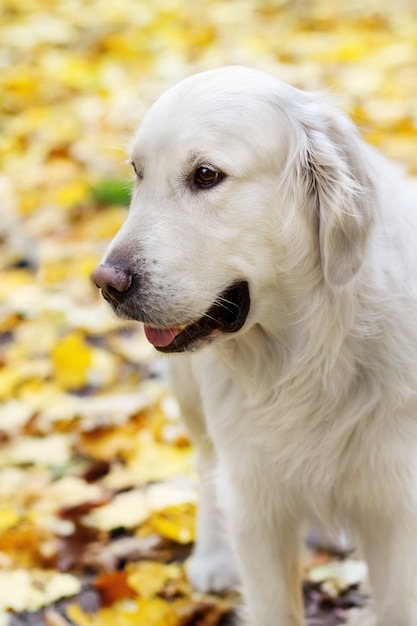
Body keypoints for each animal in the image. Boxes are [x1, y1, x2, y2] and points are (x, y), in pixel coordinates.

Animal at [92, 67, 416, 624]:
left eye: (205, 175)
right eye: (137, 172)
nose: (106, 282)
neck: (308, 356)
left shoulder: (397, 510)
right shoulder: (258, 512)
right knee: (206, 466)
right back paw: (212, 557)